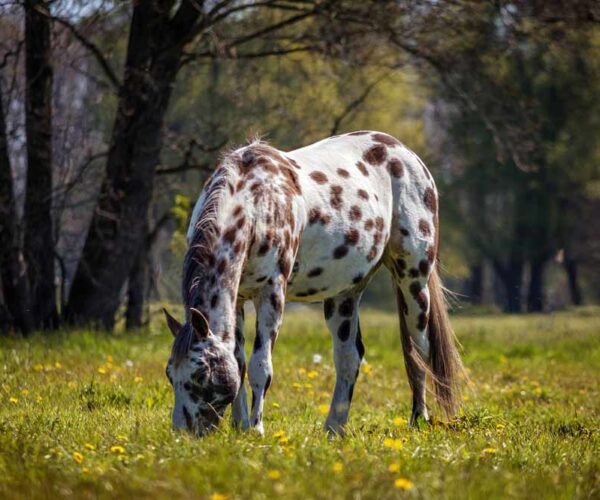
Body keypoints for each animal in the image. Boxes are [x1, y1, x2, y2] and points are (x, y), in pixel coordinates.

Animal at [163, 131, 464, 436]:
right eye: (169, 373)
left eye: (200, 375)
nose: (183, 433)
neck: (257, 202)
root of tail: (405, 153)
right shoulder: (238, 299)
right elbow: (239, 363)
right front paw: (240, 426)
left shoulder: (271, 294)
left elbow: (261, 367)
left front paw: (256, 430)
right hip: (345, 294)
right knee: (349, 358)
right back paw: (334, 428)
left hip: (413, 280)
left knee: (418, 351)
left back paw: (419, 419)